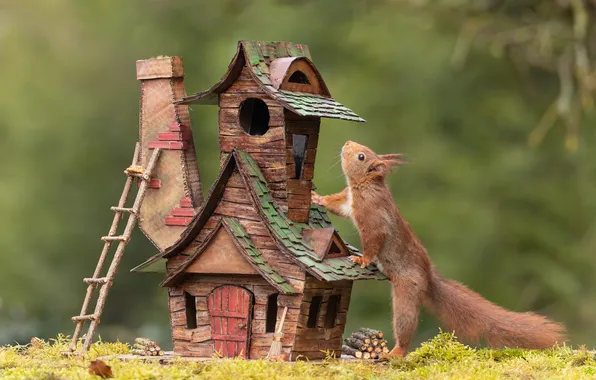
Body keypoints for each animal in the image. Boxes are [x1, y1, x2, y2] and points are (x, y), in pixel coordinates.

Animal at [312, 140, 568, 356]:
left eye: (362, 156)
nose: (347, 143)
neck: (364, 187)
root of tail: (428, 277)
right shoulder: (349, 202)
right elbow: (337, 206)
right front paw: (317, 198)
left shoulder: (374, 218)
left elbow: (374, 241)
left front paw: (362, 259)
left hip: (407, 292)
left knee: (405, 325)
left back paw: (395, 353)